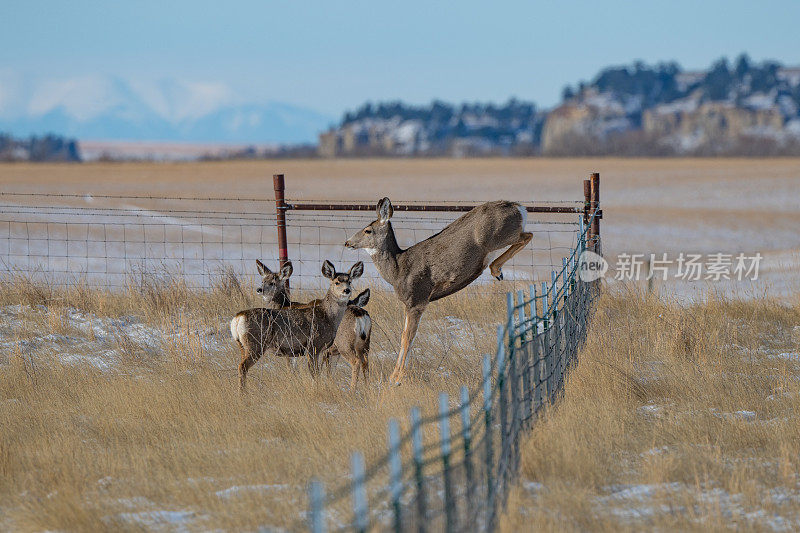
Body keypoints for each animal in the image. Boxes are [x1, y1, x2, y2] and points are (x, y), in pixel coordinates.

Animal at [344, 197, 532, 384]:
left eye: (368, 230)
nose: (347, 242)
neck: (397, 271)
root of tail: (519, 208)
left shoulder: (418, 299)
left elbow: (407, 337)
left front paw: (397, 377)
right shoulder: (410, 303)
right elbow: (404, 334)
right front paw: (394, 375)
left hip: (499, 236)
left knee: (527, 236)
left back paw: (496, 269)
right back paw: (497, 270)